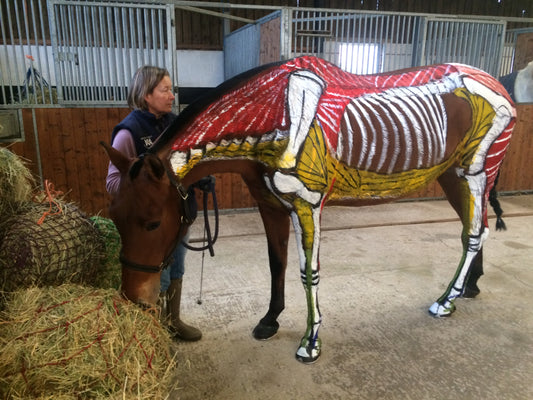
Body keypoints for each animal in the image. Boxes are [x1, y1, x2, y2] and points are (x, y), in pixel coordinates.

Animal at [102, 54, 512, 364]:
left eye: (153, 224)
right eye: (115, 219)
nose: (133, 298)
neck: (273, 116)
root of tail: (497, 84)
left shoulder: (307, 204)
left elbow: (307, 273)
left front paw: (310, 343)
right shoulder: (269, 205)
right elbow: (277, 263)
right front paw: (270, 321)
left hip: (475, 171)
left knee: (472, 232)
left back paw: (445, 302)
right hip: (452, 177)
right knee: (477, 228)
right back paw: (469, 288)